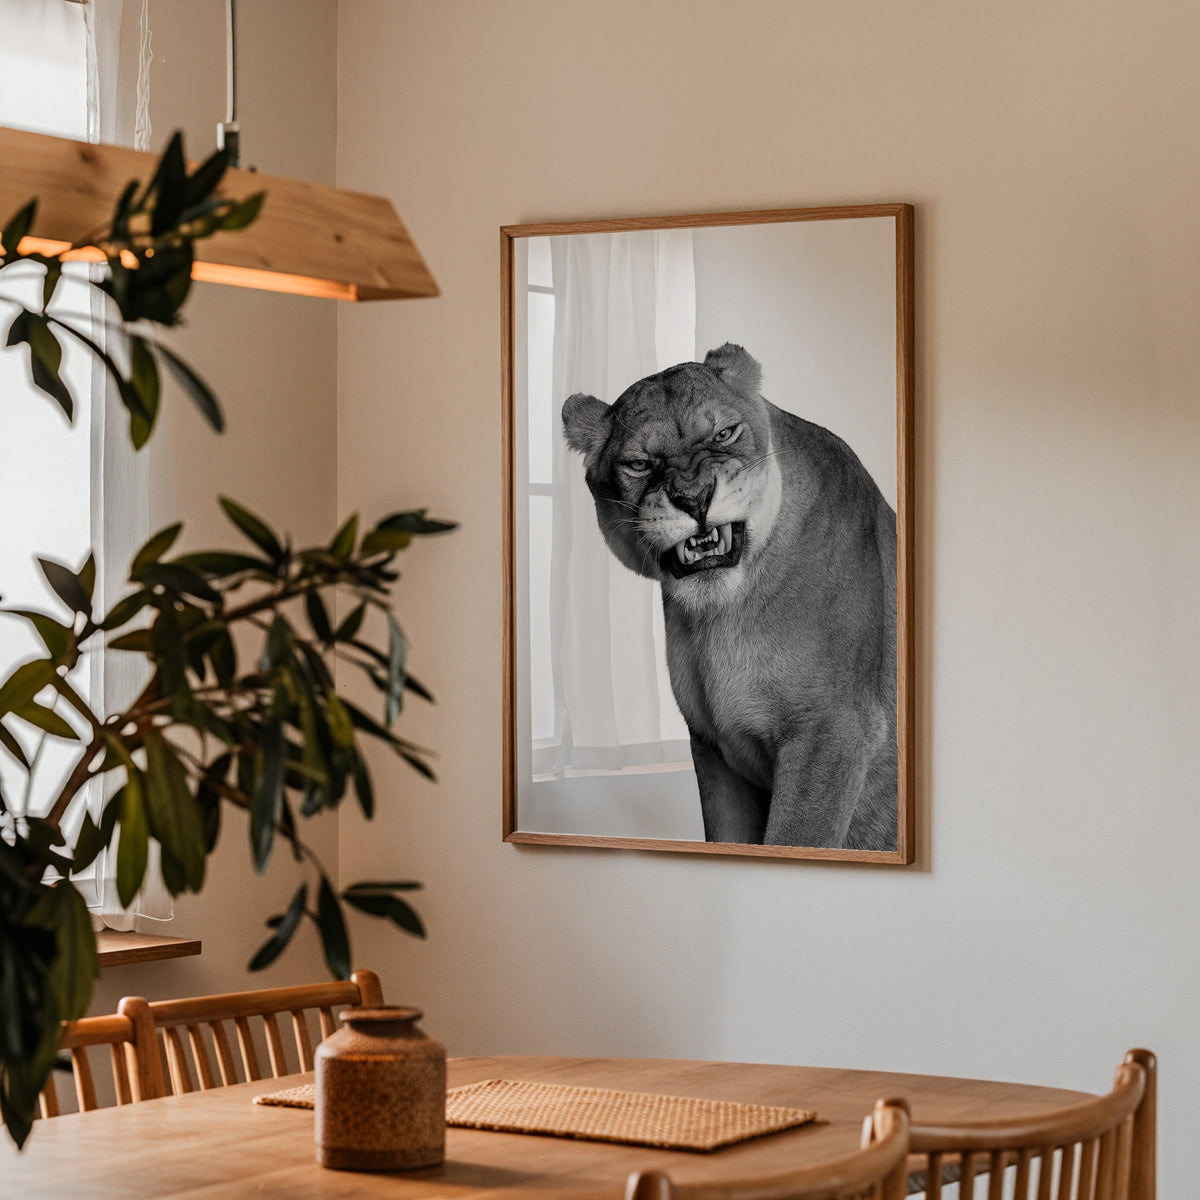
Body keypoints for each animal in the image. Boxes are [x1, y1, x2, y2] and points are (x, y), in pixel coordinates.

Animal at [561, 343, 897, 850]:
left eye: (724, 433)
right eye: (639, 464)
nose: (694, 497)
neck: (720, 615)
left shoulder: (833, 730)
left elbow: (795, 838)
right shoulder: (715, 749)